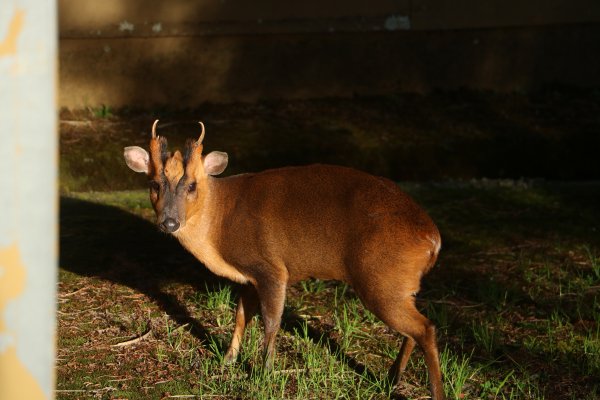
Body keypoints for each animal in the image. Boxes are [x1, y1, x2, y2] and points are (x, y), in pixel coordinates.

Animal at [123, 120, 446, 398]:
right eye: (154, 184)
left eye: (191, 185)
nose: (169, 223)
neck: (219, 220)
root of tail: (433, 240)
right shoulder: (248, 276)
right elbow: (241, 315)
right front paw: (228, 359)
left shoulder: (271, 268)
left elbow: (271, 320)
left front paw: (264, 372)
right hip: (400, 285)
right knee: (415, 328)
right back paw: (393, 378)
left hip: (380, 279)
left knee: (426, 328)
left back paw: (432, 391)